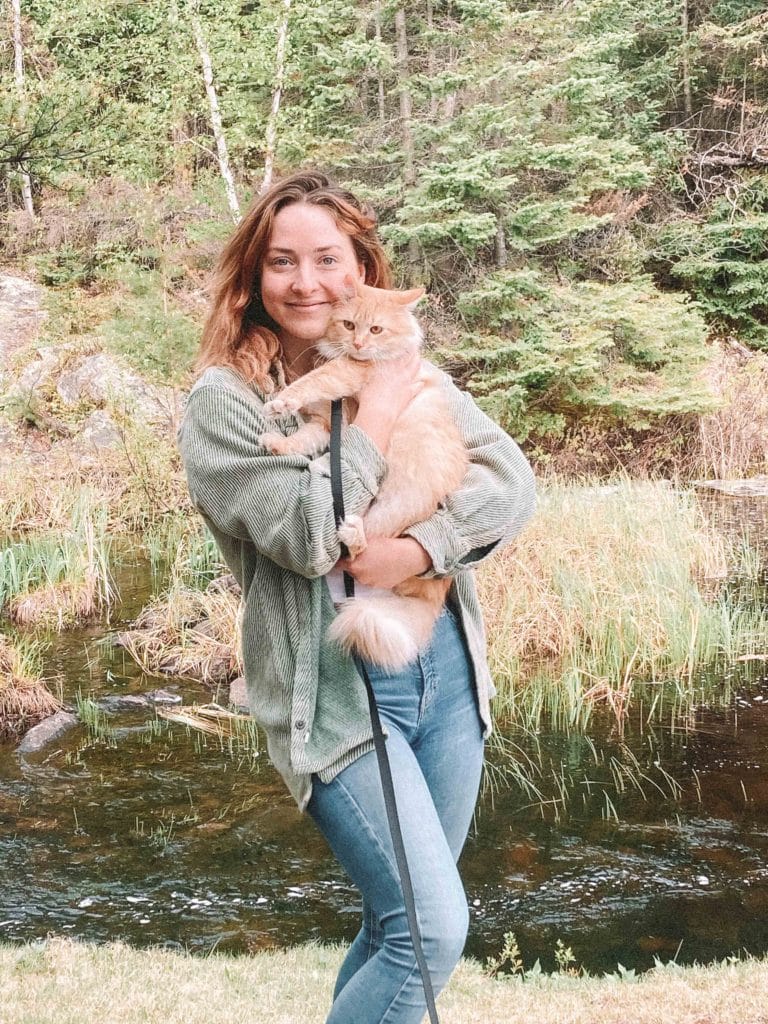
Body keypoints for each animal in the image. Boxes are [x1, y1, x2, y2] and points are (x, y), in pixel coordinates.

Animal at [260, 278, 468, 671]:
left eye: (375, 330)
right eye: (348, 325)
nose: (357, 345)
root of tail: (432, 593)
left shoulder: (350, 374)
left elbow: (314, 380)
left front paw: (281, 402)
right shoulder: (327, 424)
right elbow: (303, 440)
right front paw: (279, 445)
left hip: (388, 508)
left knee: (358, 551)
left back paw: (352, 530)